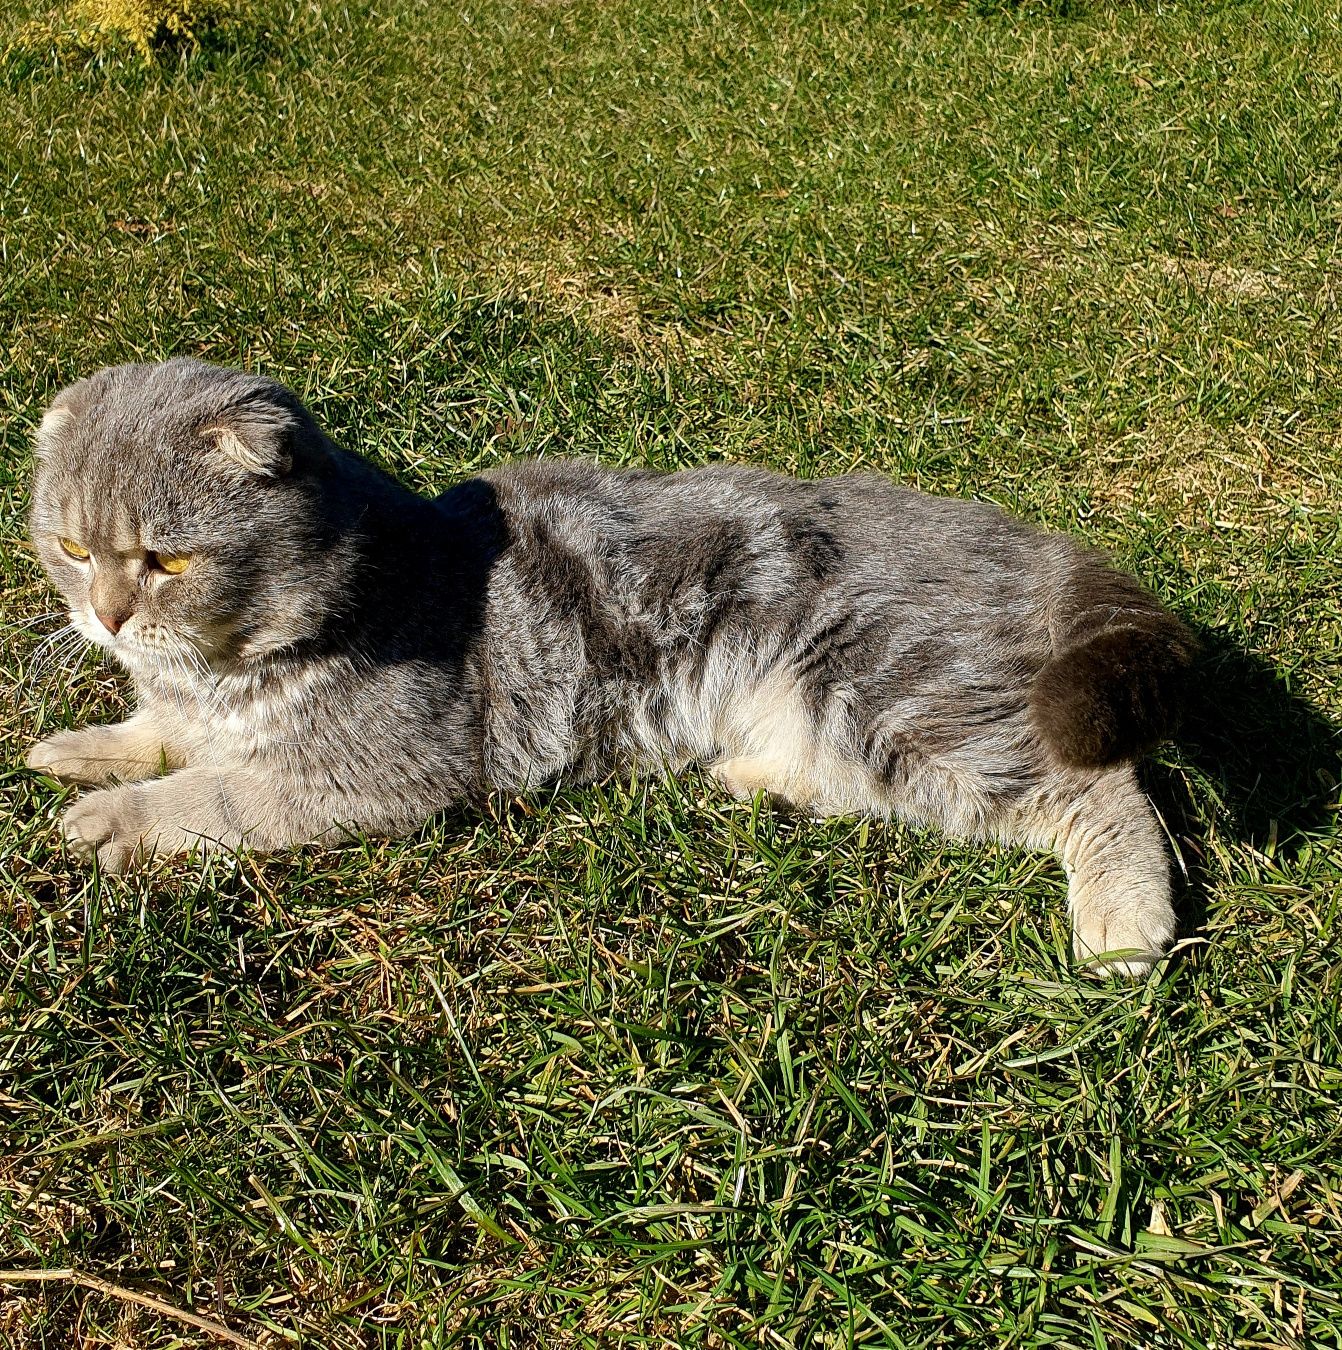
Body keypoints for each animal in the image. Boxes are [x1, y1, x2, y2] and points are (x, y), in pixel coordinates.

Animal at [23, 359, 1193, 972]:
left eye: (168, 559)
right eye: (72, 547)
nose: (108, 616)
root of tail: (1026, 541)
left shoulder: (377, 772)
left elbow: (216, 792)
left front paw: (122, 819)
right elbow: (158, 737)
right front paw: (91, 746)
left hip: (897, 703)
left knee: (1099, 791)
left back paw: (1126, 926)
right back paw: (753, 776)